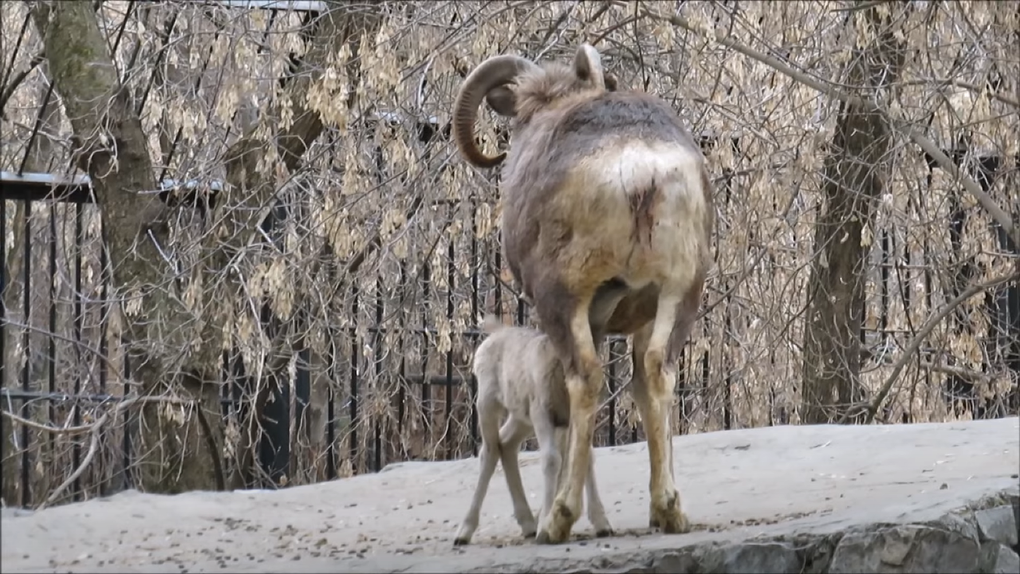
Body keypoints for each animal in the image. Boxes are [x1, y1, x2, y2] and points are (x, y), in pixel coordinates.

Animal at [456, 316, 612, 546]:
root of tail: (494, 332)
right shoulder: (542, 411)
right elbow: (551, 459)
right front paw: (545, 527)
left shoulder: (574, 416)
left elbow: (585, 457)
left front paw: (603, 524)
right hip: (487, 401)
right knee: (489, 450)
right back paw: (464, 532)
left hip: (521, 415)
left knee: (506, 443)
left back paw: (528, 523)